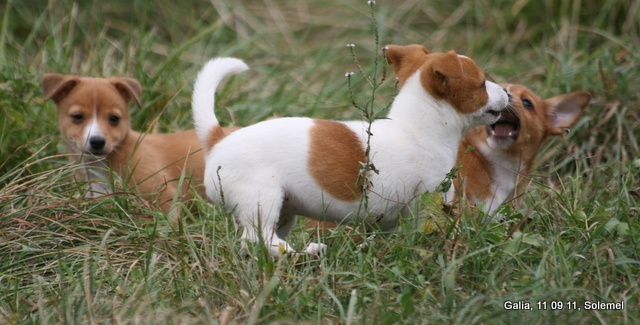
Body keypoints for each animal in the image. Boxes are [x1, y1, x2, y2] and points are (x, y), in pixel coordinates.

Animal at [192, 43, 508, 256]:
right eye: (482, 84)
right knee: (257, 239)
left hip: (283, 210)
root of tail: (217, 139)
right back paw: (305, 253)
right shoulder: (430, 200)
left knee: (262, 243)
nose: (507, 91)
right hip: (261, 199)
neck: (415, 128)